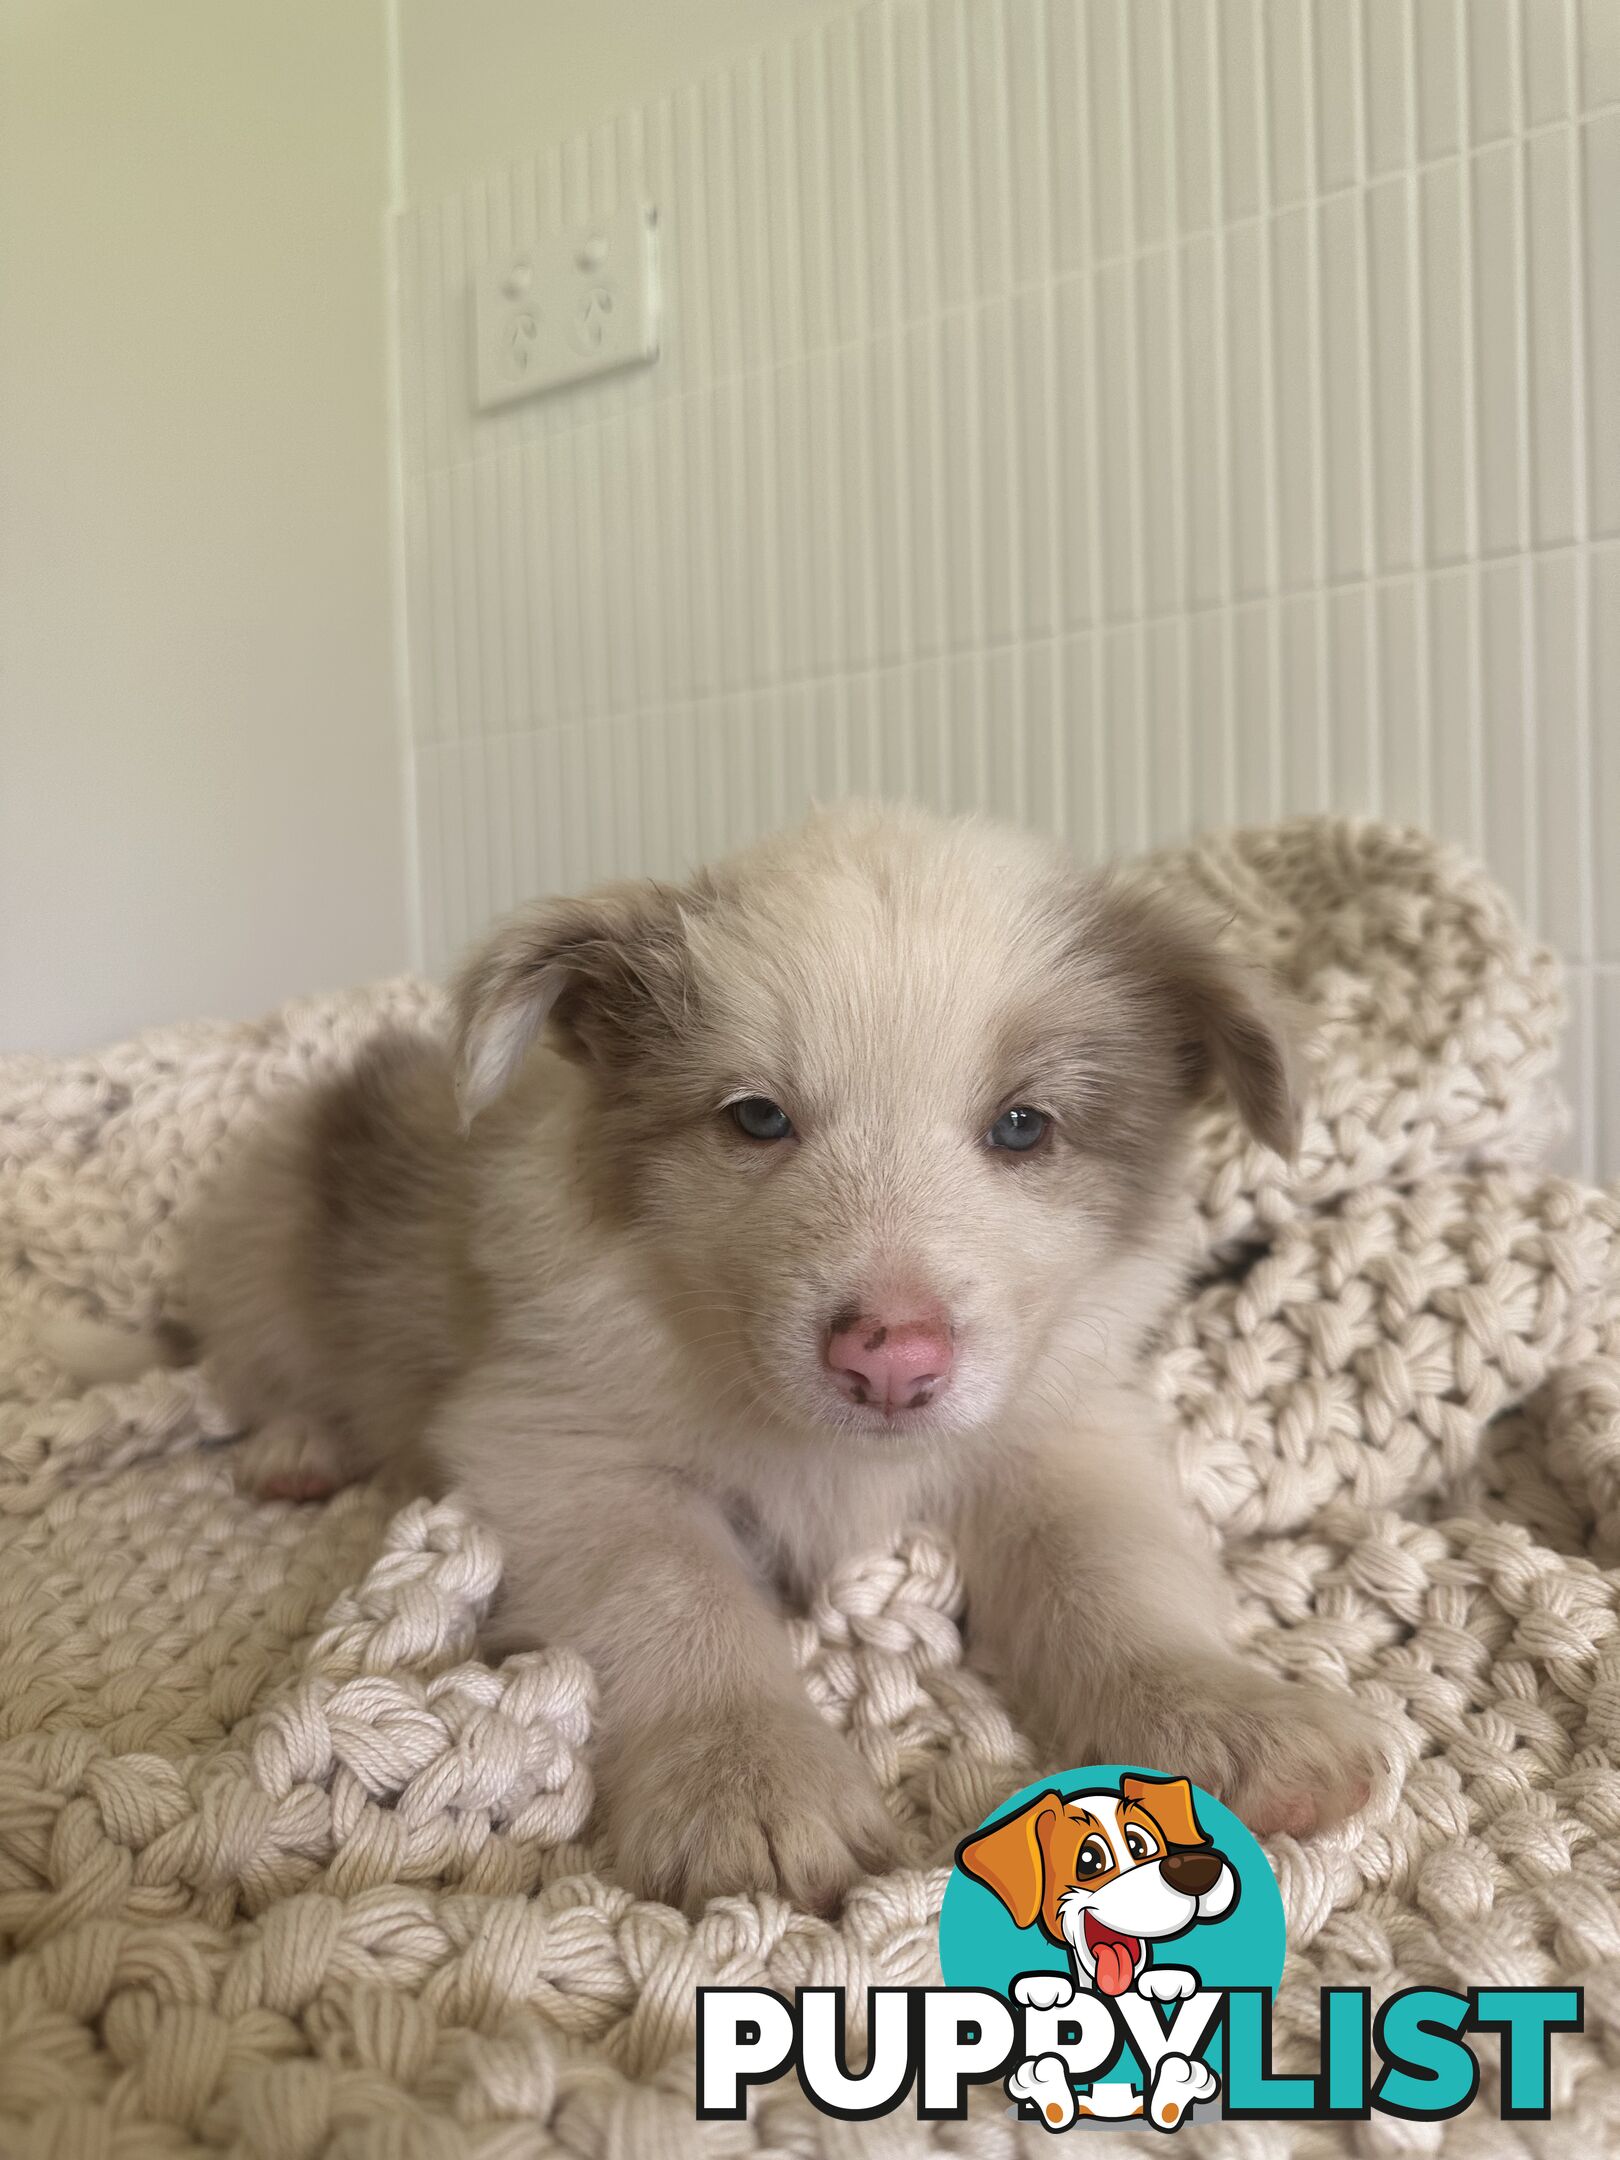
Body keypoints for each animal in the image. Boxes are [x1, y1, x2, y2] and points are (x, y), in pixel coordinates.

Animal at [186, 807, 1382, 1909]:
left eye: (1025, 1126)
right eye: (756, 1118)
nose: (891, 1361)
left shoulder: (1065, 1428)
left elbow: (1110, 1571)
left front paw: (1224, 1714)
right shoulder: (557, 1441)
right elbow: (679, 1593)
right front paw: (746, 1783)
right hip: (261, 1232)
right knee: (260, 1361)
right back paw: (295, 1447)